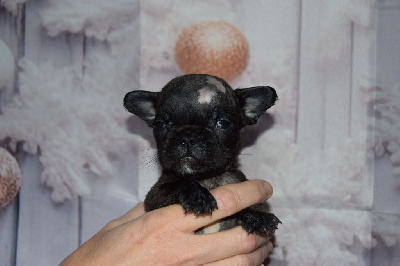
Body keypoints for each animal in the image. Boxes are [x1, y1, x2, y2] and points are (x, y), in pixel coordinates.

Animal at [123, 74, 280, 234]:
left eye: (223, 123)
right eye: (159, 125)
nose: (187, 137)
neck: (206, 178)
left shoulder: (238, 182)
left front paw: (258, 215)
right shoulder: (154, 197)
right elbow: (179, 184)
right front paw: (198, 196)